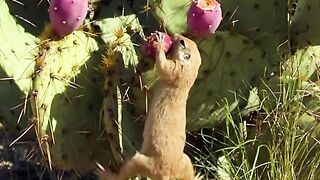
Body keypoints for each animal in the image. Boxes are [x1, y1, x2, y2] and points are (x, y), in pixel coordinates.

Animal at [97, 33, 202, 179]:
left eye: (182, 42)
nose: (175, 34)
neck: (189, 76)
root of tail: (166, 174)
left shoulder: (175, 70)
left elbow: (163, 66)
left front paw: (159, 44)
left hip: (141, 161)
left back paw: (105, 173)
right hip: (185, 161)